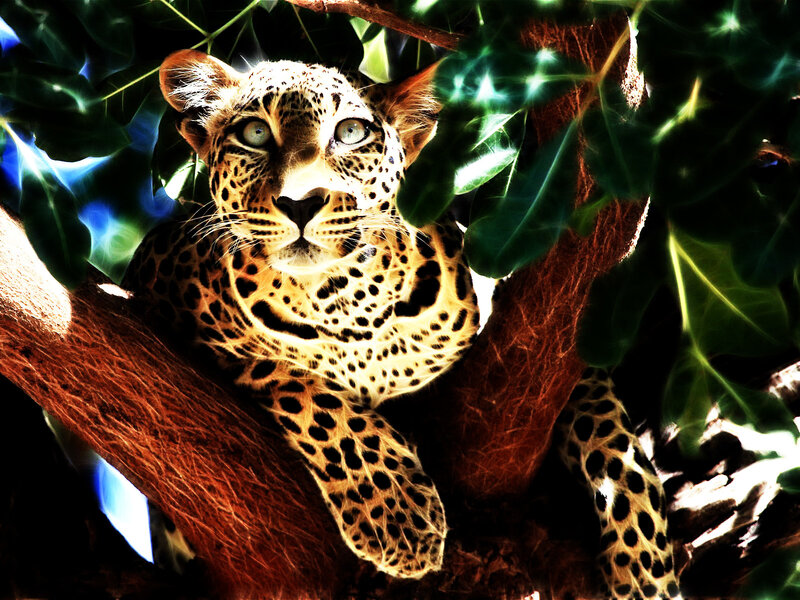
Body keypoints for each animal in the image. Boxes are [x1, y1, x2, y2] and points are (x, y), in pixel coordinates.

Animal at [123, 49, 681, 598]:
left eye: (350, 132)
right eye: (255, 134)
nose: (300, 203)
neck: (346, 303)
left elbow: (608, 432)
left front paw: (645, 567)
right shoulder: (155, 287)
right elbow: (310, 395)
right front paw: (399, 516)